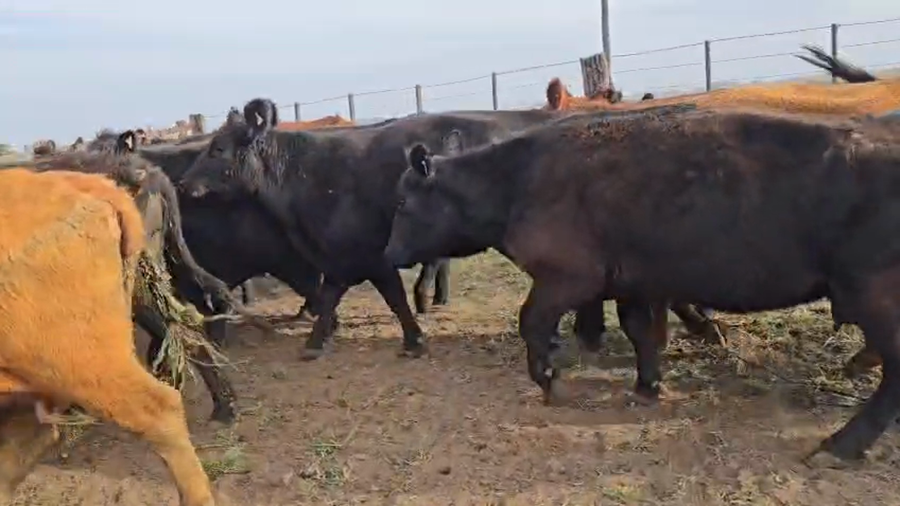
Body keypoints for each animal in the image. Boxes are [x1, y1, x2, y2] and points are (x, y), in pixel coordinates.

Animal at [383, 105, 900, 465]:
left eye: (404, 202)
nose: (388, 254)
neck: (516, 181)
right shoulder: (632, 281)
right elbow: (639, 332)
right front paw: (647, 385)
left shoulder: (568, 279)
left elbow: (531, 322)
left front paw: (549, 380)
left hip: (875, 298)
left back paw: (842, 444)